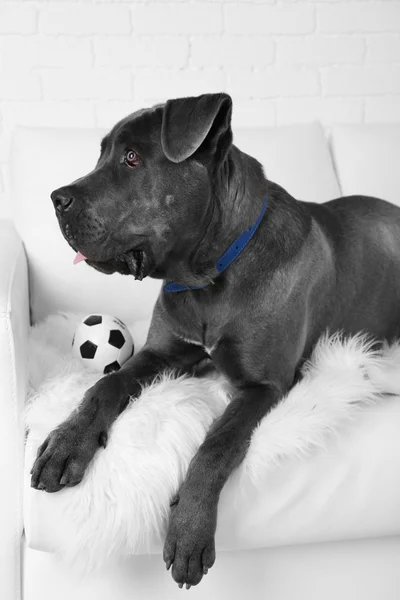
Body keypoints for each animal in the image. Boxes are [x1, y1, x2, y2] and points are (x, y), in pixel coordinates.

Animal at [29, 92, 400, 584]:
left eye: (132, 158)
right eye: (102, 154)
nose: (56, 198)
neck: (209, 275)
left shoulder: (263, 387)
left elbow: (217, 444)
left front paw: (189, 530)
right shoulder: (161, 352)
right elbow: (106, 384)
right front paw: (66, 443)